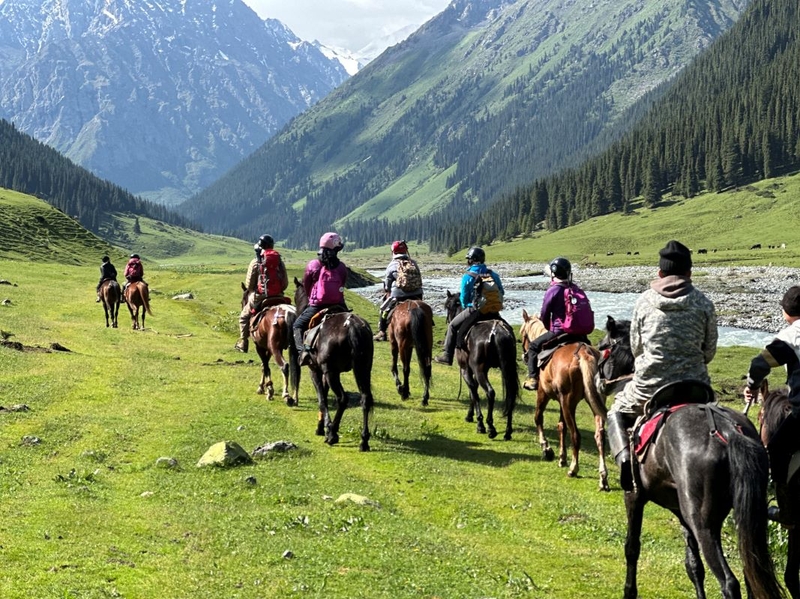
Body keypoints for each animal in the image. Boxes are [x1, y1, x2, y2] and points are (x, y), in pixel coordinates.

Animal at [293, 278, 375, 451]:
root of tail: (351, 326)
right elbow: (323, 396)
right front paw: (322, 427)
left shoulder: (315, 370)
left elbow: (322, 399)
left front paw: (323, 428)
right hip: (363, 368)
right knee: (365, 398)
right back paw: (363, 441)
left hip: (332, 372)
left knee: (342, 398)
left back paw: (332, 434)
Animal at [444, 292, 519, 440]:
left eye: (448, 306)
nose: (449, 320)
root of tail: (497, 332)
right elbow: (473, 392)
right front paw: (470, 416)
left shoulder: (466, 370)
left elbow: (473, 392)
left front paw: (478, 422)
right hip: (507, 368)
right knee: (511, 395)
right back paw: (508, 431)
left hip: (479, 371)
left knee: (490, 392)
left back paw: (490, 427)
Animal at [519, 310, 609, 491]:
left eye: (523, 335)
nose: (524, 355)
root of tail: (583, 354)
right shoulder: (561, 402)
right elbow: (561, 426)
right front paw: (562, 457)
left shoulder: (543, 393)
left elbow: (538, 417)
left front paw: (546, 448)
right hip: (593, 401)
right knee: (599, 436)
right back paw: (603, 477)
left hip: (569, 402)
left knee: (576, 435)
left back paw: (574, 469)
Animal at [621, 382, 785, 599]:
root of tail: (729, 431)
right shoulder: (680, 513)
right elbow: (693, 565)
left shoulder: (634, 496)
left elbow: (632, 547)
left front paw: (629, 591)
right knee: (751, 575)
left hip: (704, 525)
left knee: (729, 582)